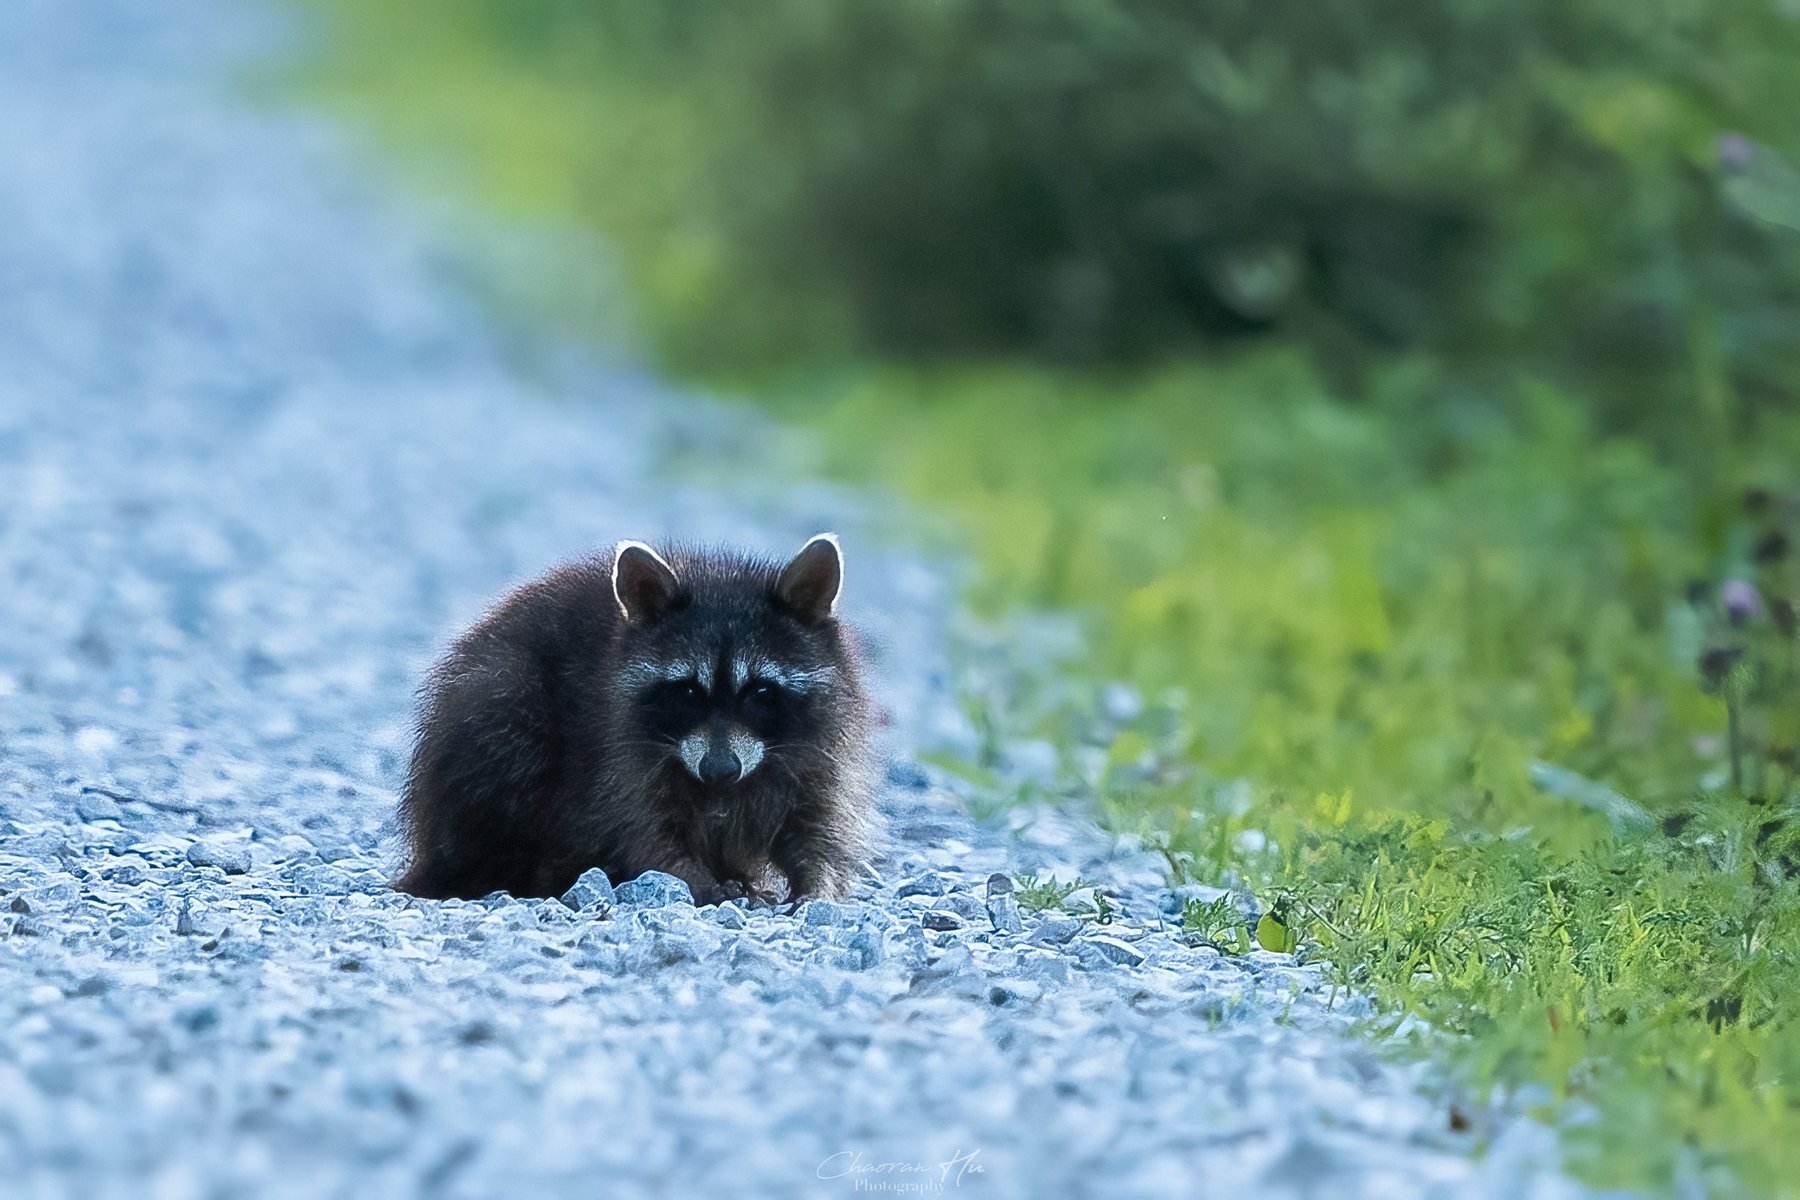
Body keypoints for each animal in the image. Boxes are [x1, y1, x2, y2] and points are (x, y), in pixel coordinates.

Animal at [394, 533, 877, 904]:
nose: (719, 770)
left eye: (760, 692)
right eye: (687, 691)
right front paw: (691, 876)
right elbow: (639, 829)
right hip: (499, 705)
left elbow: (816, 827)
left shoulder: (821, 749)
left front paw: (817, 884)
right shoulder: (613, 748)